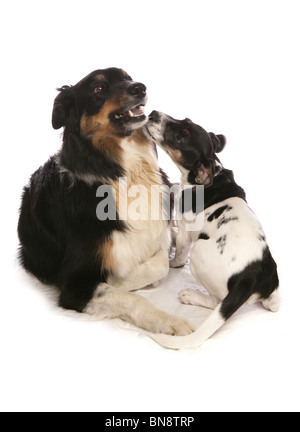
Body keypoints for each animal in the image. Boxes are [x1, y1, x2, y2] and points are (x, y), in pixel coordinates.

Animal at [144, 111, 280, 348]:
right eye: (186, 120)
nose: (153, 114)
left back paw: (191, 296)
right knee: (273, 303)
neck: (212, 175)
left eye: (179, 138)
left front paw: (174, 263)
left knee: (216, 301)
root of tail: (249, 279)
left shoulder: (184, 232)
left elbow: (179, 253)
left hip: (199, 253)